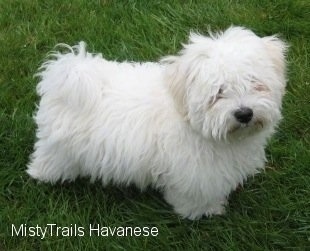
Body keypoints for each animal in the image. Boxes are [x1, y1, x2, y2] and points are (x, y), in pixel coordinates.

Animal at [27, 26, 286, 220]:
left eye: (255, 83)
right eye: (218, 93)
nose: (244, 113)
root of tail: (62, 78)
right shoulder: (193, 172)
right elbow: (193, 196)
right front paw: (204, 211)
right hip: (60, 148)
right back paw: (42, 175)